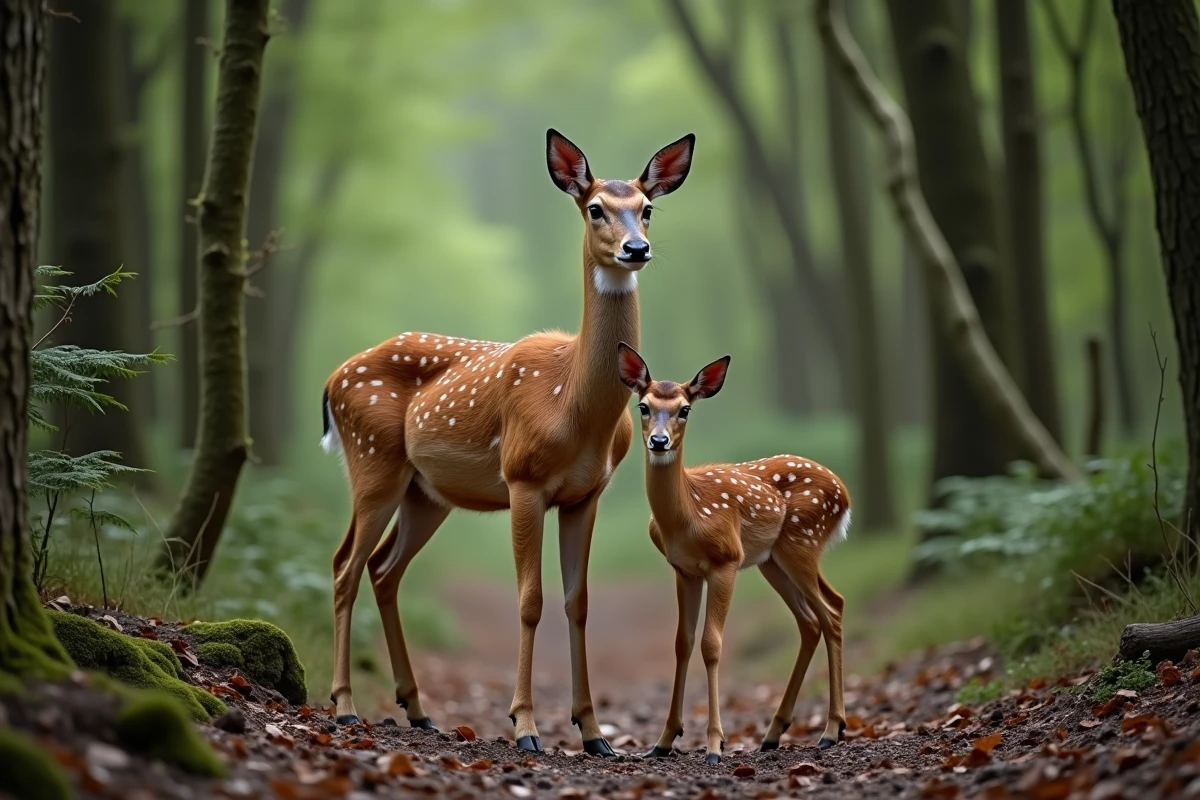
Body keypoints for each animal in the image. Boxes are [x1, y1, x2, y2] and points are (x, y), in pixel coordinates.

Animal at [318, 129, 696, 757]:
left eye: (646, 208)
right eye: (595, 208)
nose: (636, 249)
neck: (573, 407)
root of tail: (331, 380)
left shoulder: (585, 495)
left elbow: (577, 602)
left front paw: (595, 734)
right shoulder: (523, 479)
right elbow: (530, 600)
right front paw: (525, 727)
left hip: (426, 492)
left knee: (382, 568)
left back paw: (418, 710)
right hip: (372, 463)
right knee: (344, 564)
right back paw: (345, 706)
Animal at [615, 344, 850, 765]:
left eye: (685, 409)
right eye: (642, 405)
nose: (659, 441)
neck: (689, 514)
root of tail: (845, 494)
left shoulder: (726, 561)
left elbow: (711, 645)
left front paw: (714, 745)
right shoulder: (684, 570)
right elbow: (682, 642)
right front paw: (662, 741)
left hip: (802, 542)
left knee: (831, 613)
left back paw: (830, 731)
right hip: (774, 560)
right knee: (816, 616)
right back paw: (774, 734)